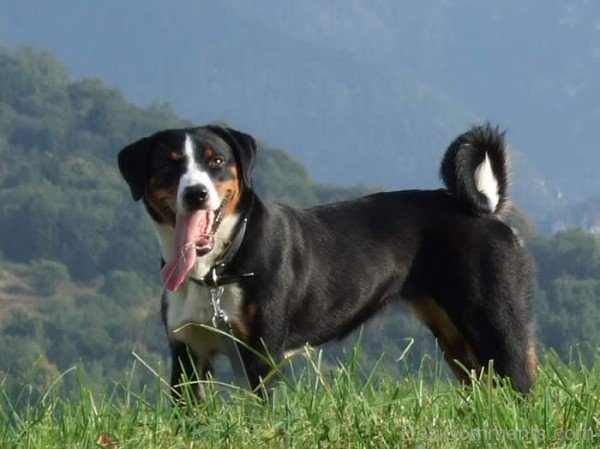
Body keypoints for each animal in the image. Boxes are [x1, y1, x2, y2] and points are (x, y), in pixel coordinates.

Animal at [117, 122, 536, 396]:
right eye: (170, 164)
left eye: (216, 161)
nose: (196, 193)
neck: (217, 270)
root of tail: (486, 211)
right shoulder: (188, 353)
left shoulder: (260, 355)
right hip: (458, 340)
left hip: (496, 324)